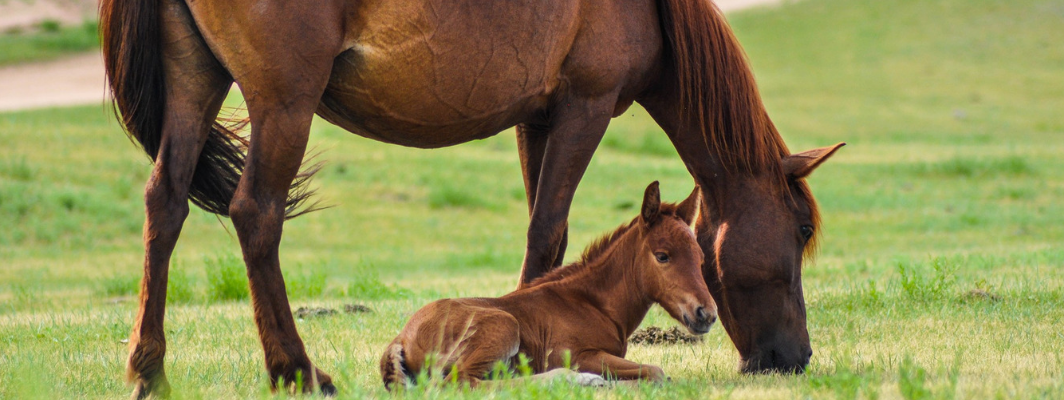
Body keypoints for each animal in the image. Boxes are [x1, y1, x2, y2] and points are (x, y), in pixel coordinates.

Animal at [378, 181, 719, 387]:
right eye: (662, 256)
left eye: (701, 256)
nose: (706, 314)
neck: (593, 304)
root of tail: (401, 338)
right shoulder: (578, 354)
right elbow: (656, 372)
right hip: (503, 327)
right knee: (466, 384)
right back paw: (573, 379)